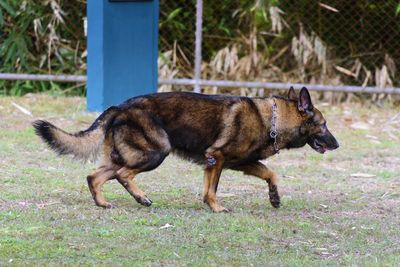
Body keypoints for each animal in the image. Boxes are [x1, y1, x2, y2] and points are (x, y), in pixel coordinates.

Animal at [33, 87, 338, 213]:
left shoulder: (236, 163)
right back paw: (141, 198)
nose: (337, 144)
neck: (272, 119)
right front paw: (217, 208)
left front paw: (274, 198)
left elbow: (271, 174)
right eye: (324, 125)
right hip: (155, 152)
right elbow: (212, 189)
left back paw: (103, 203)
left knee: (95, 177)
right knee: (122, 175)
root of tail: (119, 107)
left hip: (128, 155)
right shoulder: (218, 158)